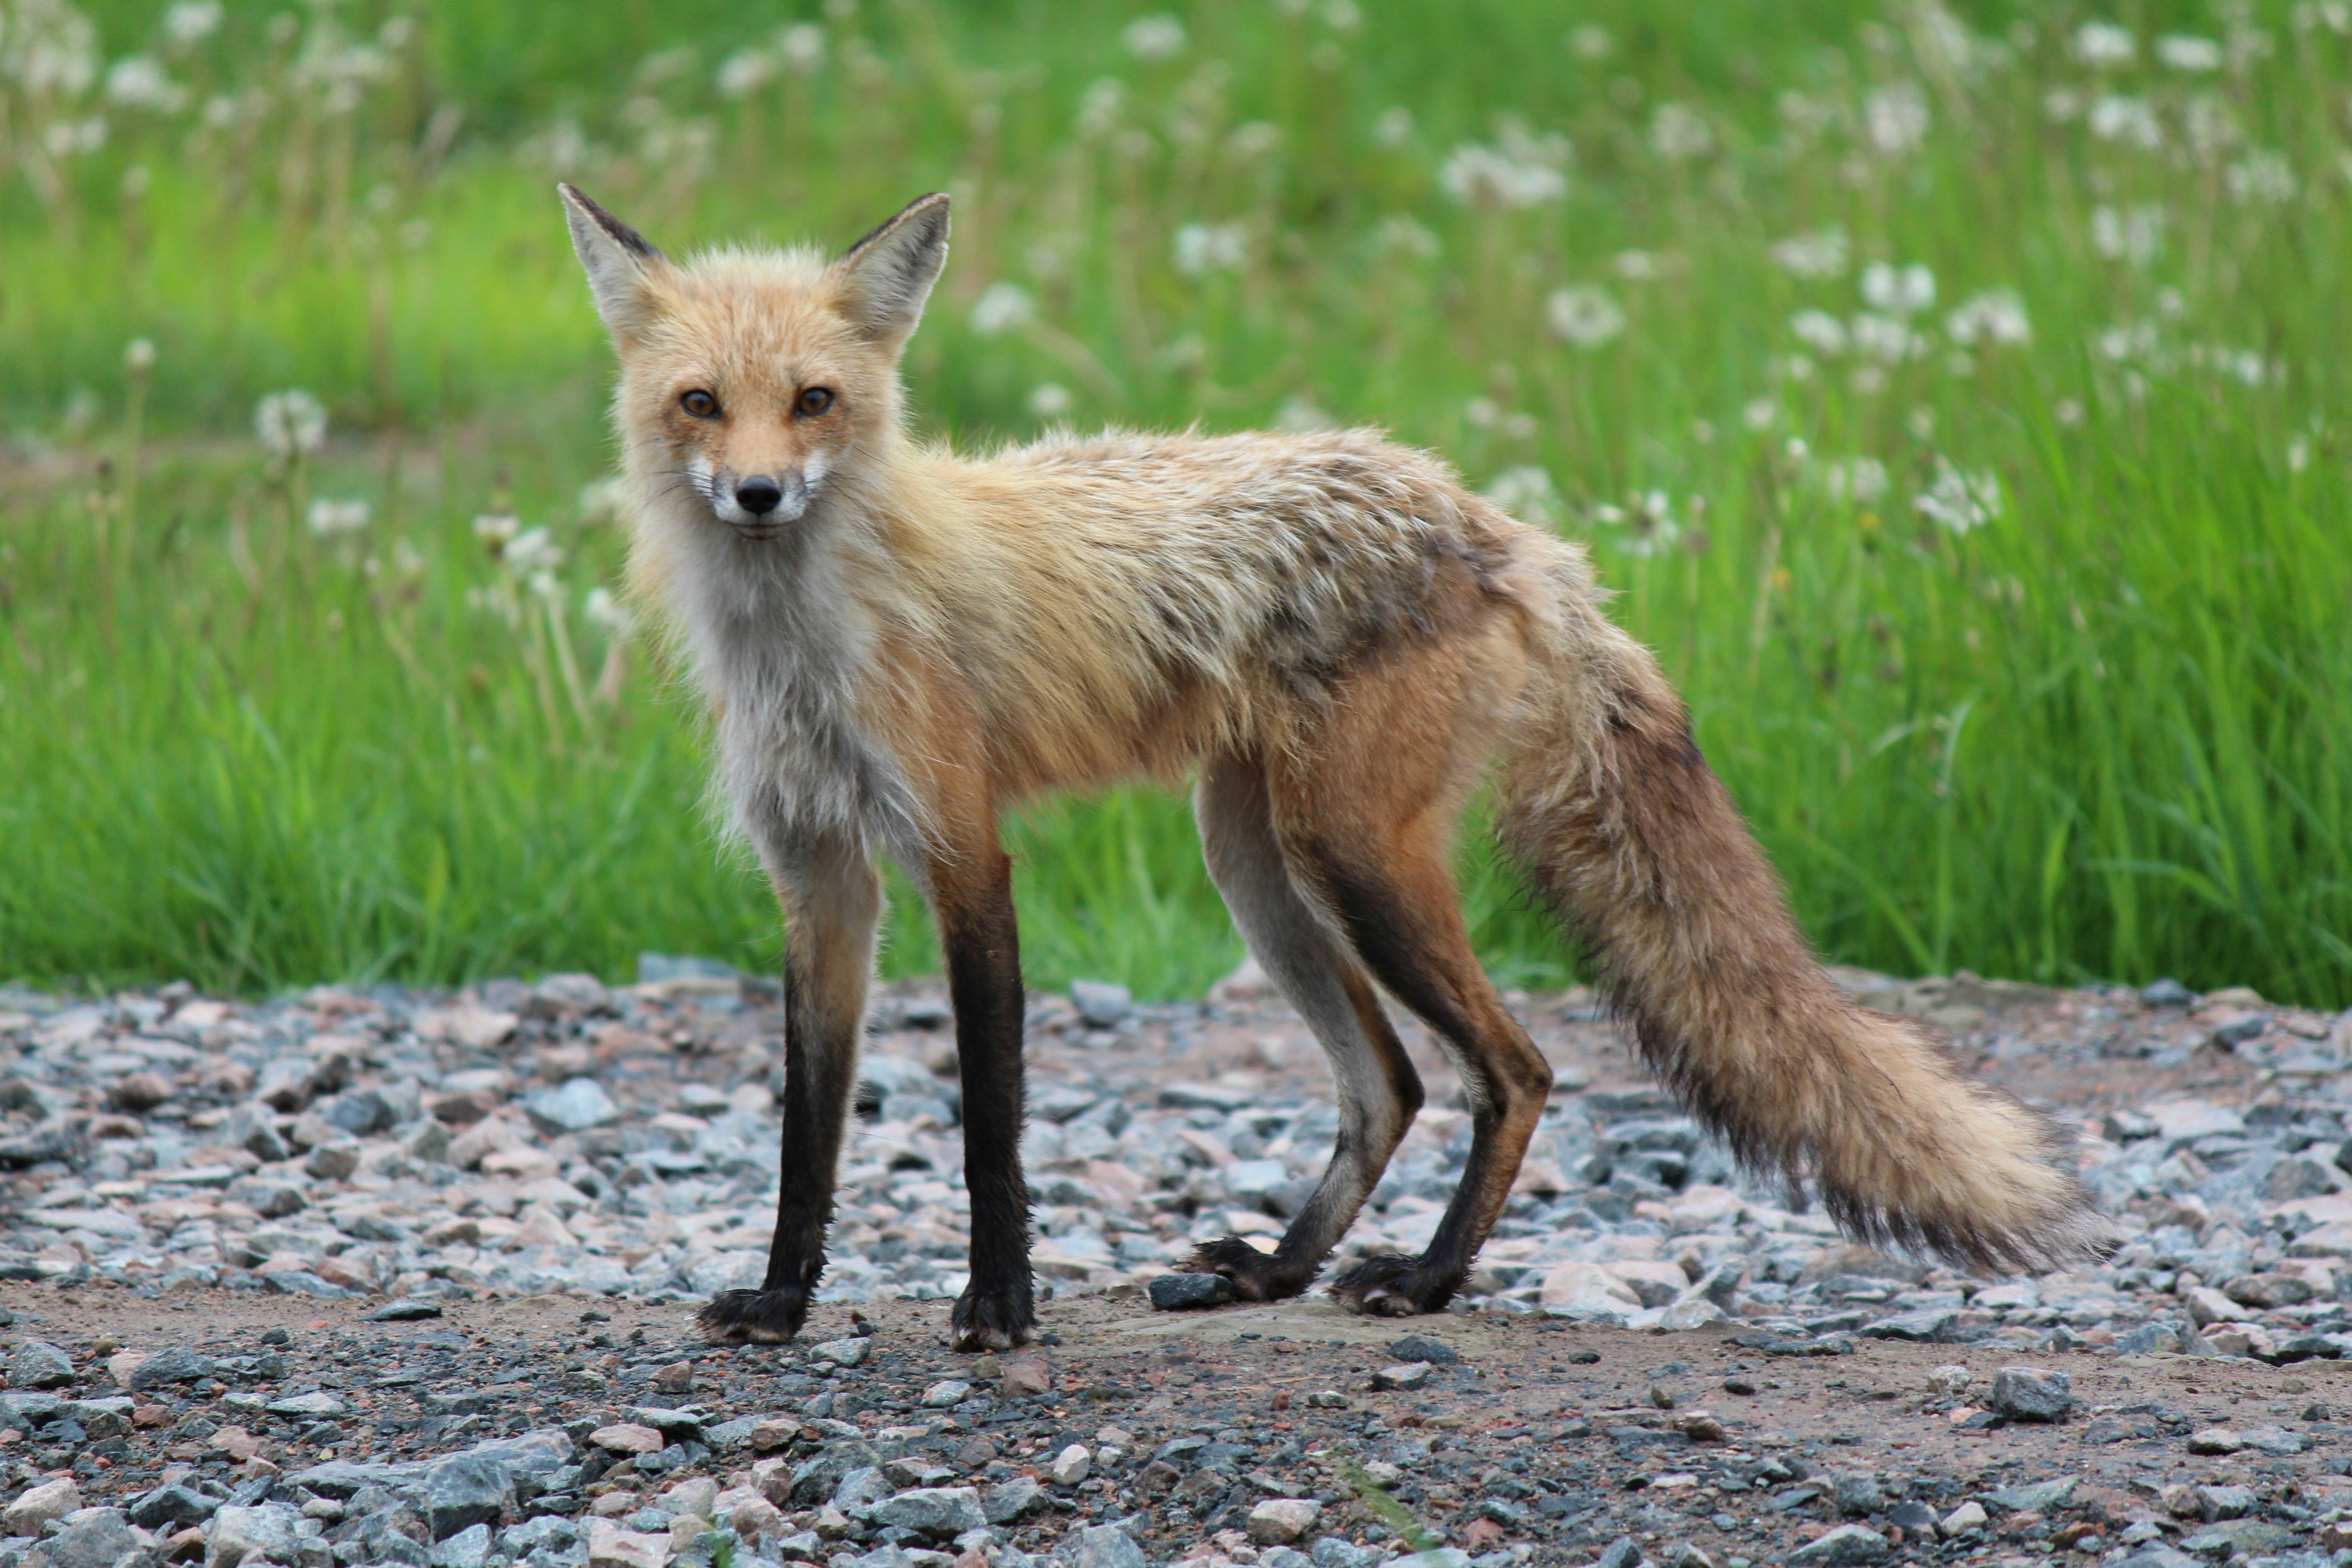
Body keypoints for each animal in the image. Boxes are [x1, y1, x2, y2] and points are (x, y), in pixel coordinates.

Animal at [558, 184, 2111, 1352]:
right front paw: (780, 1304)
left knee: (1515, 1072)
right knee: (1391, 1087)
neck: (808, 639)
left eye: (814, 400)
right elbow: (806, 1133)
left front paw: (1000, 1308)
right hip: (1253, 863)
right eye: (702, 404)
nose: (759, 493)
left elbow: (991, 1123)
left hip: (1355, 863)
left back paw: (1422, 1283)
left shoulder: (962, 853)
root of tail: (1503, 529)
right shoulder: (820, 879)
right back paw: (1278, 1272)